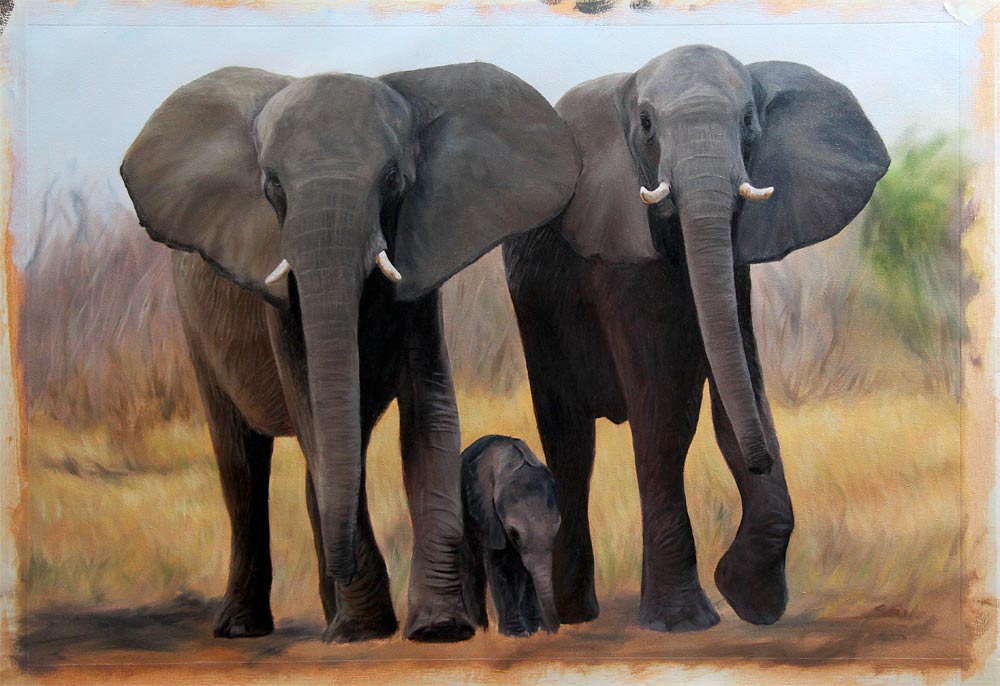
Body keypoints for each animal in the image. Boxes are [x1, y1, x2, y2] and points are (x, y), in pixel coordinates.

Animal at [460, 435, 561, 637]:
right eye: (514, 533)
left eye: (557, 527)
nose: (553, 630)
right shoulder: (487, 511)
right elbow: (501, 564)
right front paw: (516, 634)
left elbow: (526, 570)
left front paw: (536, 630)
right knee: (472, 565)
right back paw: (480, 630)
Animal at [503, 45, 889, 632]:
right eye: (645, 124)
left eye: (749, 120)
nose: (761, 462)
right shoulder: (618, 246)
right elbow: (666, 415)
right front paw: (684, 621)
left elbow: (739, 387)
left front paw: (751, 598)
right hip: (534, 307)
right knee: (569, 437)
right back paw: (575, 614)